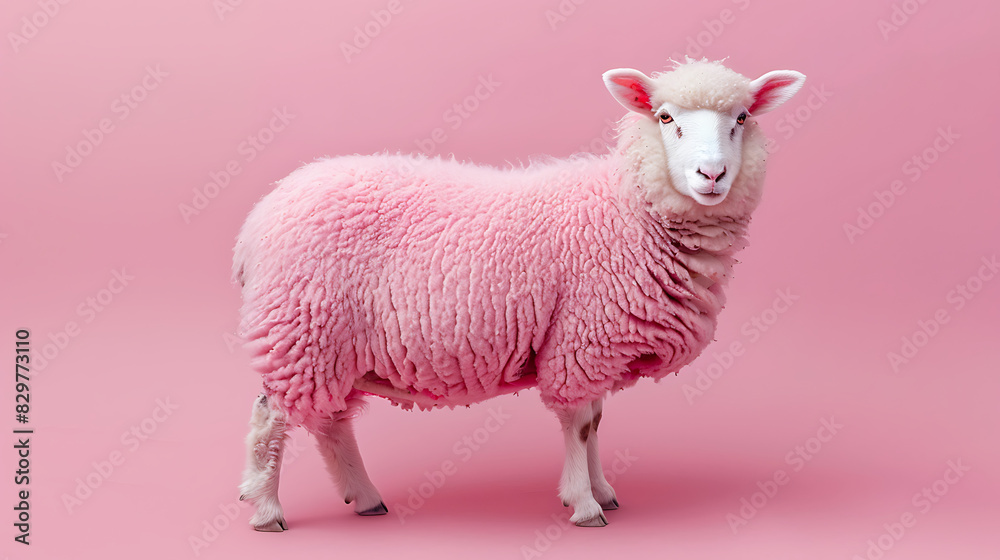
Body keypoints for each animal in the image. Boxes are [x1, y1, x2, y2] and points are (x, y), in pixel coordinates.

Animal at [234, 59, 805, 530]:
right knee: (270, 418)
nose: (712, 174)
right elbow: (580, 424)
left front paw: (602, 490)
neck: (628, 207)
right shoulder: (582, 338)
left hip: (328, 344)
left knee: (330, 421)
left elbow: (596, 420)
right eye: (665, 118)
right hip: (301, 328)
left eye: (742, 118)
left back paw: (366, 497)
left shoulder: (592, 337)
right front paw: (585, 504)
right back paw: (266, 510)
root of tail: (259, 218)